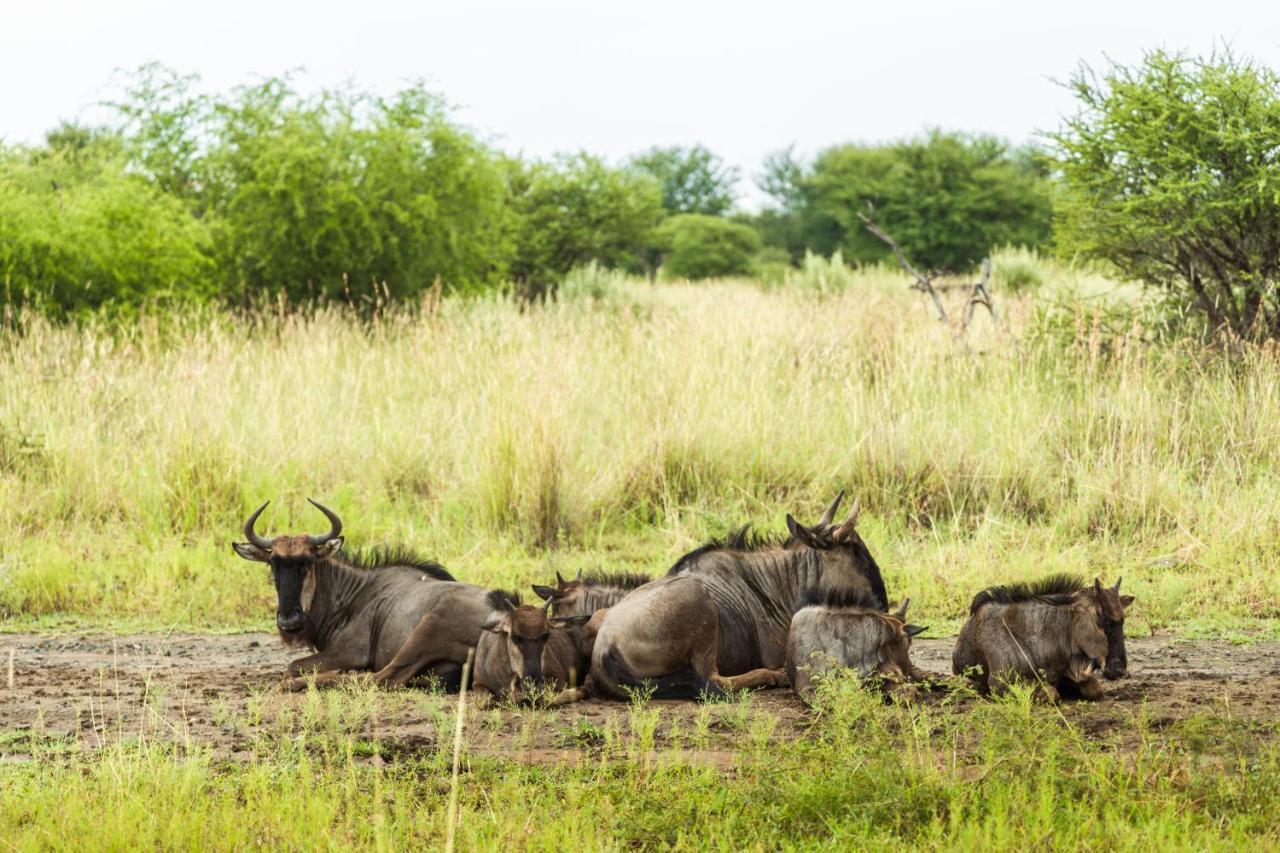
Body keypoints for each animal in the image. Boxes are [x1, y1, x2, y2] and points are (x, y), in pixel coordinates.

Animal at [957, 571, 1136, 696]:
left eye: (1122, 620)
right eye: (1100, 616)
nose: (1118, 670)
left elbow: (1094, 689)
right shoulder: (1001, 684)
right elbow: (1052, 693)